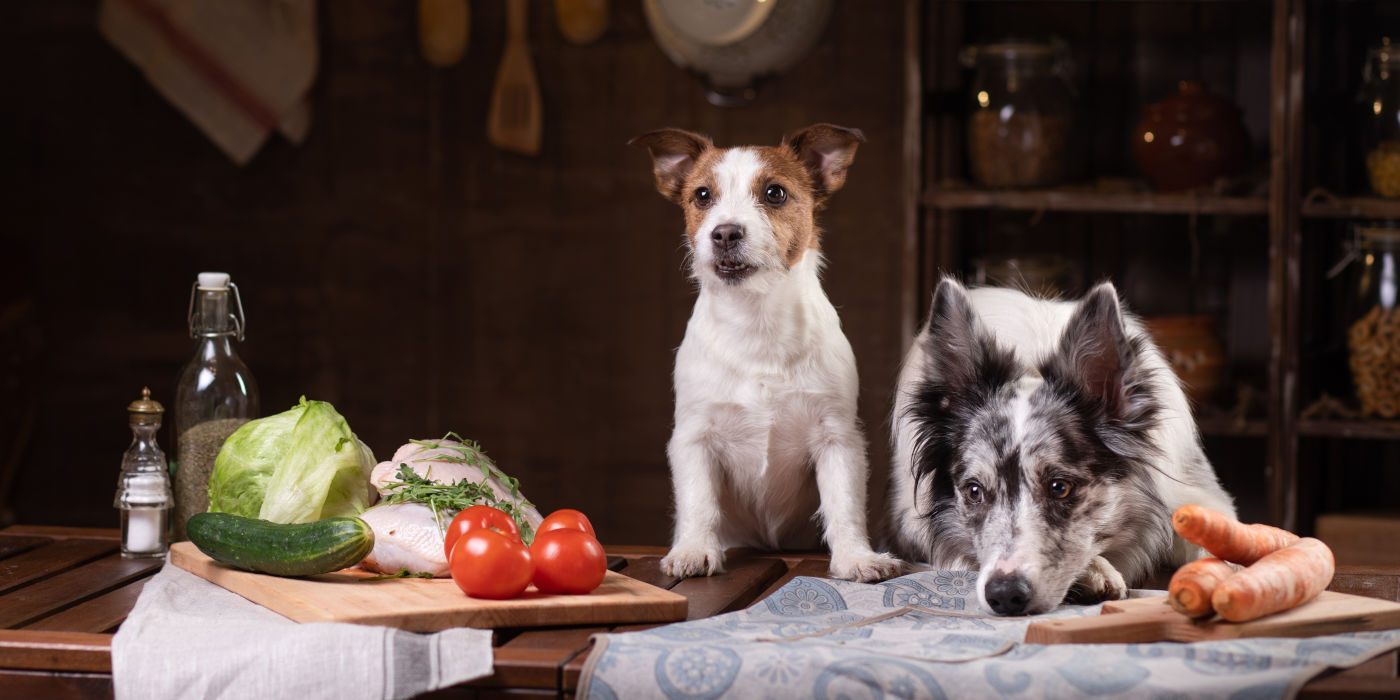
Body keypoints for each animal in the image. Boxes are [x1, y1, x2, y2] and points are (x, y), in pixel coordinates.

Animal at [632, 123, 896, 582]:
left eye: (775, 193)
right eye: (702, 195)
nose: (724, 233)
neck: (756, 324)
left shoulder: (837, 440)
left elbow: (844, 506)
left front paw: (855, 557)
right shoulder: (694, 438)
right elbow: (699, 502)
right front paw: (695, 549)